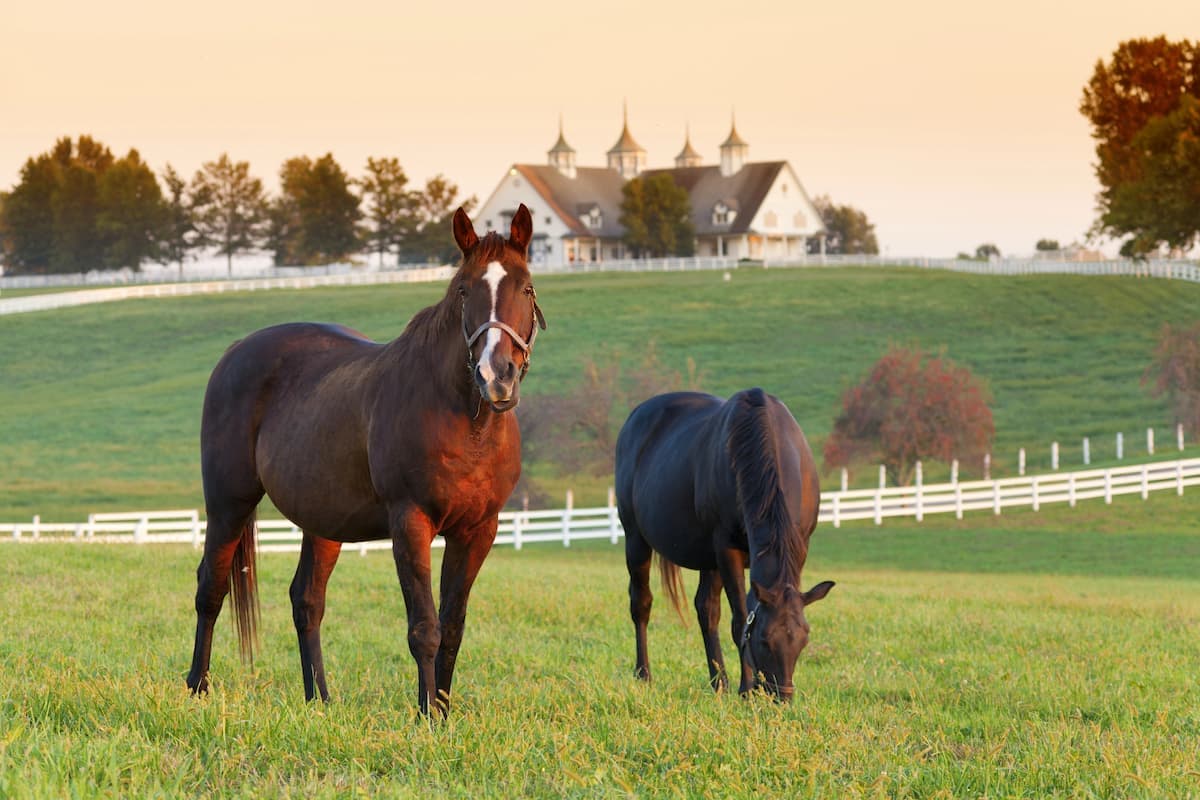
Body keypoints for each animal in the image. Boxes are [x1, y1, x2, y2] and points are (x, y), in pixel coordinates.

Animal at [185, 204, 547, 717]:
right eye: (464, 290)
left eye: (527, 288)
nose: (496, 376)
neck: (465, 422)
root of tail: (235, 352)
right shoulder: (410, 523)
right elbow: (425, 627)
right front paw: (426, 717)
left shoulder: (478, 531)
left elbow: (452, 627)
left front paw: (443, 712)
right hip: (228, 503)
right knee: (211, 588)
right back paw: (198, 686)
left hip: (322, 521)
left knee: (307, 601)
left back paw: (319, 699)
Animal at [614, 388, 835, 700]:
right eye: (764, 640)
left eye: (803, 639)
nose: (781, 697)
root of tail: (635, 416)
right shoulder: (726, 550)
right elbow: (741, 619)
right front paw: (747, 689)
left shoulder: (797, 548)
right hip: (636, 539)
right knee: (641, 603)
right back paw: (644, 674)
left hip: (707, 558)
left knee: (706, 610)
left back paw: (719, 682)